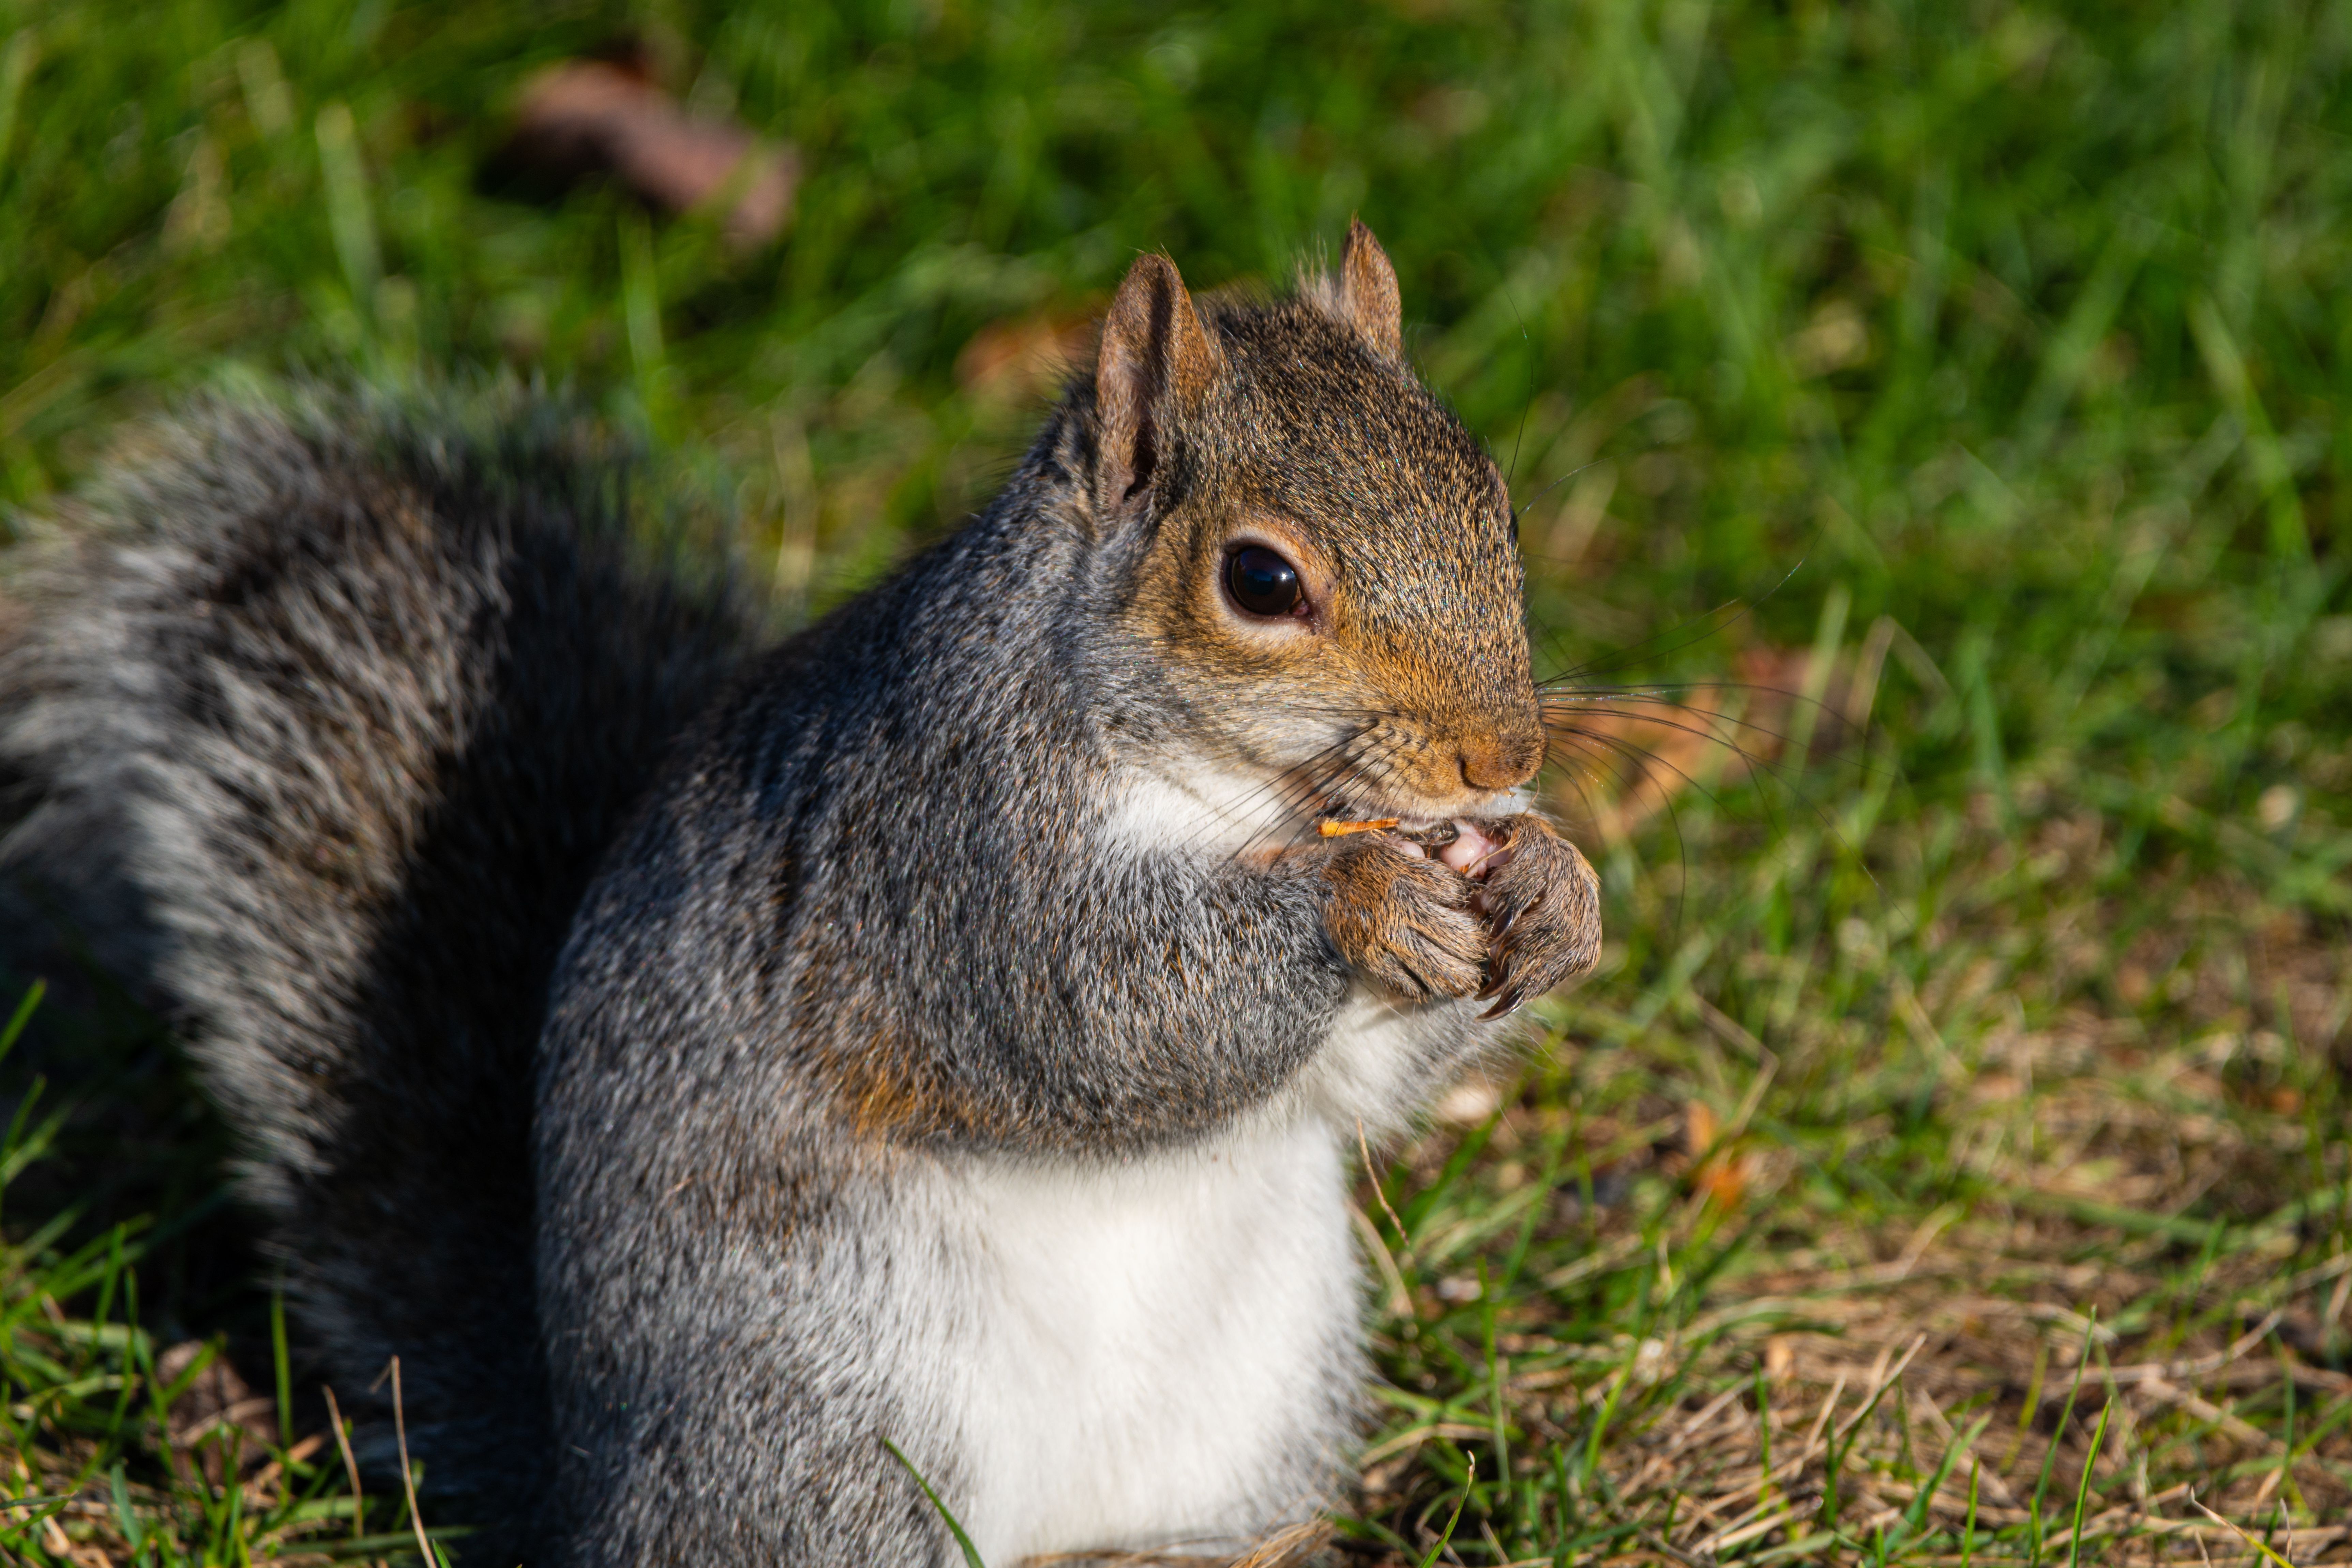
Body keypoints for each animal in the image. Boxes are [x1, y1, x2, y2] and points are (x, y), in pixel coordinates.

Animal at [0, 221, 1602, 1566]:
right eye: (1261, 582)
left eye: (1498, 509)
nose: (1501, 758)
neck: (1247, 796)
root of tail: (587, 1494)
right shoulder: (946, 855)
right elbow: (1092, 1012)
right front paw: (1359, 902)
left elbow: (1360, 1080)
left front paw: (1556, 886)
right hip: (838, 1416)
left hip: (1256, 1404)